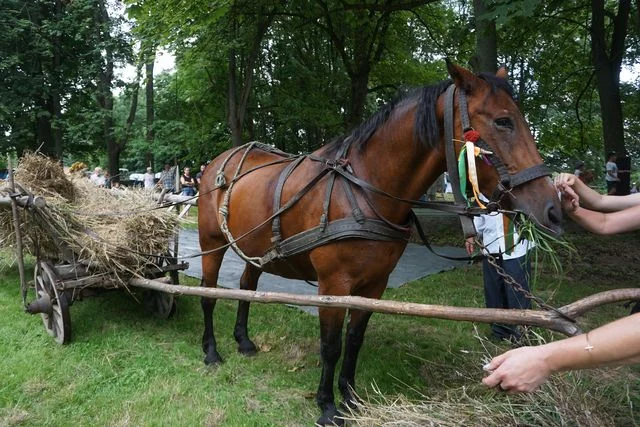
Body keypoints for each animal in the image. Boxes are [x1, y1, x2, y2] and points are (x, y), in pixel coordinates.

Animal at [196, 61, 560, 427]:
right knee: (208, 294)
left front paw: (351, 397)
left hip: (254, 249)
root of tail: (220, 160)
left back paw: (243, 341)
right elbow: (331, 344)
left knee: (246, 287)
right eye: (503, 121)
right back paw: (211, 351)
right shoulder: (333, 285)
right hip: (211, 242)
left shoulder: (375, 284)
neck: (362, 190)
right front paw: (327, 406)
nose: (553, 208)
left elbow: (354, 340)